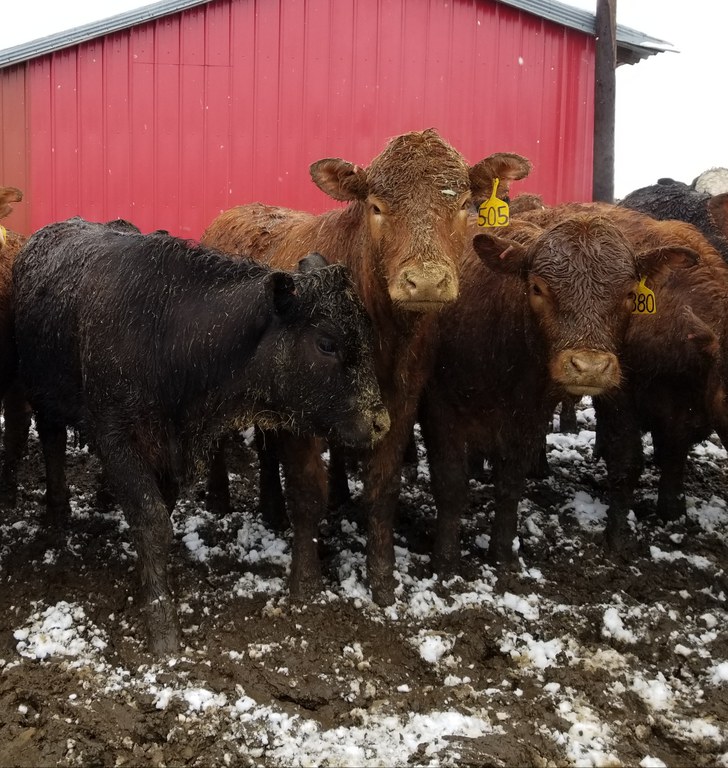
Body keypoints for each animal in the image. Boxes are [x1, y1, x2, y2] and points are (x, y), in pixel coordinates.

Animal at [11, 218, 390, 656]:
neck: (165, 331)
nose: (381, 421)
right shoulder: (115, 437)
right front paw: (162, 623)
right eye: (327, 343)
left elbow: (161, 514)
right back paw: (58, 513)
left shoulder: (169, 448)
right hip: (44, 398)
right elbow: (153, 520)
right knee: (52, 443)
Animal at [202, 129, 532, 604]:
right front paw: (305, 581)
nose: (426, 281)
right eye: (376, 207)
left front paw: (382, 579)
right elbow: (307, 492)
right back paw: (220, 498)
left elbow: (383, 487)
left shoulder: (402, 402)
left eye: (463, 206)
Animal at [420, 213, 692, 572]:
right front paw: (446, 560)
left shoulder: (529, 418)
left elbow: (510, 484)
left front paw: (502, 554)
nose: (590, 366)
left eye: (630, 293)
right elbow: (450, 485)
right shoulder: (440, 410)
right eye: (537, 288)